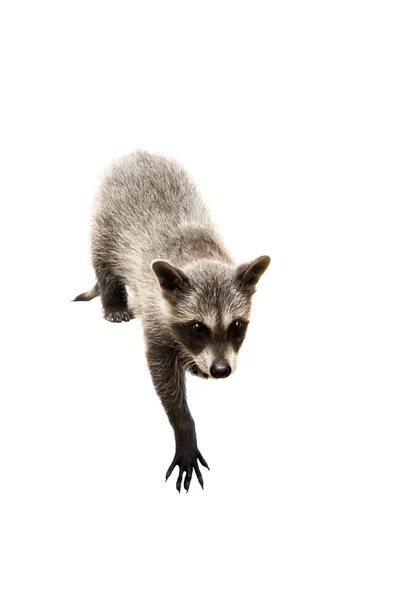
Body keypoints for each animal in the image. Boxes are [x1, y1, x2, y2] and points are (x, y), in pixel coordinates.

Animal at [74, 150, 270, 492]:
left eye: (236, 326)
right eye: (197, 327)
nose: (221, 370)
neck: (200, 255)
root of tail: (137, 152)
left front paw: (196, 365)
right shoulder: (155, 314)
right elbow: (163, 374)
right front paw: (184, 428)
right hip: (105, 220)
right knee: (103, 261)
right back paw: (112, 300)